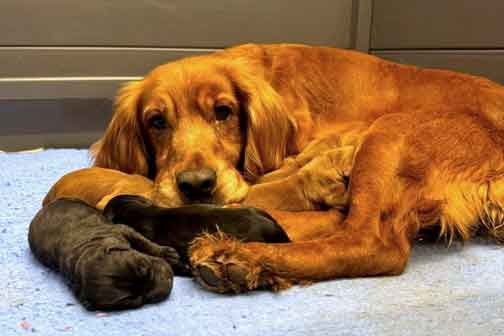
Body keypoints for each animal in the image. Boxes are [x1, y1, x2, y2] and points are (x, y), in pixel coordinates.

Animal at [28, 198, 179, 312]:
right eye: (136, 301)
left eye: (145, 267)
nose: (169, 281)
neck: (87, 250)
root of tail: (41, 211)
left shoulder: (121, 229)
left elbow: (144, 242)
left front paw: (167, 254)